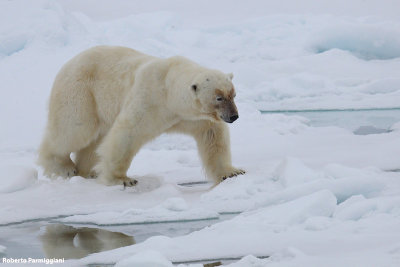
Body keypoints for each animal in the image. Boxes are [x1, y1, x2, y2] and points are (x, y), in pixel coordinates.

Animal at [38, 45, 244, 186]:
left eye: (233, 94)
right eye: (218, 97)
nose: (234, 116)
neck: (168, 90)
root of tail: (69, 63)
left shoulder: (191, 116)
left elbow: (212, 135)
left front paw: (232, 172)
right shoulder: (150, 99)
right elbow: (128, 133)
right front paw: (122, 179)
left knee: (94, 141)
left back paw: (88, 171)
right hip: (81, 91)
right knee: (74, 129)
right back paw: (64, 168)